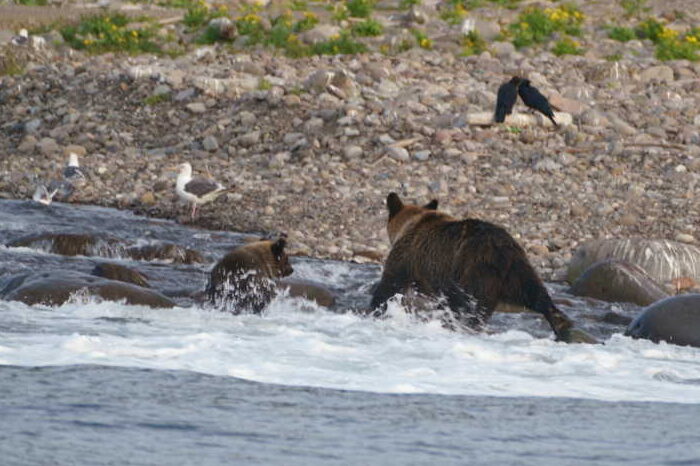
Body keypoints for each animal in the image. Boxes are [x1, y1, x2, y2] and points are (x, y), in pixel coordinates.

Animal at [370, 193, 592, 342]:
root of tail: (500, 249)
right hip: (518, 270)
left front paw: (375, 310)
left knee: (472, 308)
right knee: (536, 294)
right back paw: (561, 325)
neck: (411, 224)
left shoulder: (407, 258)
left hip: (474, 271)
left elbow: (389, 286)